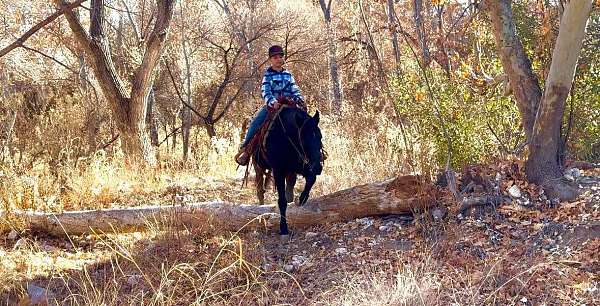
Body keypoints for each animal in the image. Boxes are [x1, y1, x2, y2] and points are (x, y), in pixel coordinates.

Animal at [252, 105, 324, 237]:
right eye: (304, 139)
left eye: (320, 136)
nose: (318, 167)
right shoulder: (278, 171)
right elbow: (282, 201)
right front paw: (284, 228)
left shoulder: (300, 167)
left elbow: (311, 179)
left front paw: (302, 199)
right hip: (258, 166)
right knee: (260, 191)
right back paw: (262, 213)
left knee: (289, 190)